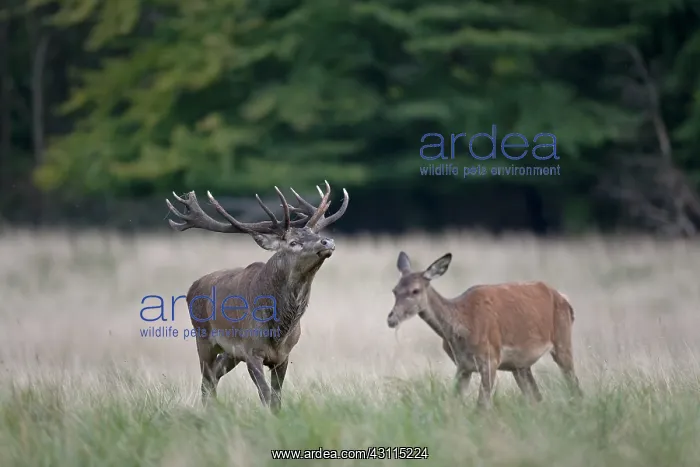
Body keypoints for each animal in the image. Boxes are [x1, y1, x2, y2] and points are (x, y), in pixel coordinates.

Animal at [165, 181, 349, 413]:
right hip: (203, 337)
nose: (327, 241)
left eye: (314, 234)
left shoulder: (283, 356)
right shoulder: (251, 351)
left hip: (230, 352)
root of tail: (193, 286)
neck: (279, 329)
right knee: (206, 381)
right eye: (293, 242)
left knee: (214, 376)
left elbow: (277, 399)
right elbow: (266, 395)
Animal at [387, 251, 582, 408]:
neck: (463, 326)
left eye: (415, 290)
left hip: (562, 340)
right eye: (394, 290)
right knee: (537, 397)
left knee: (575, 386)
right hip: (520, 365)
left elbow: (481, 406)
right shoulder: (463, 365)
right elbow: (454, 402)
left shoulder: (490, 358)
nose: (391, 318)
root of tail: (565, 300)